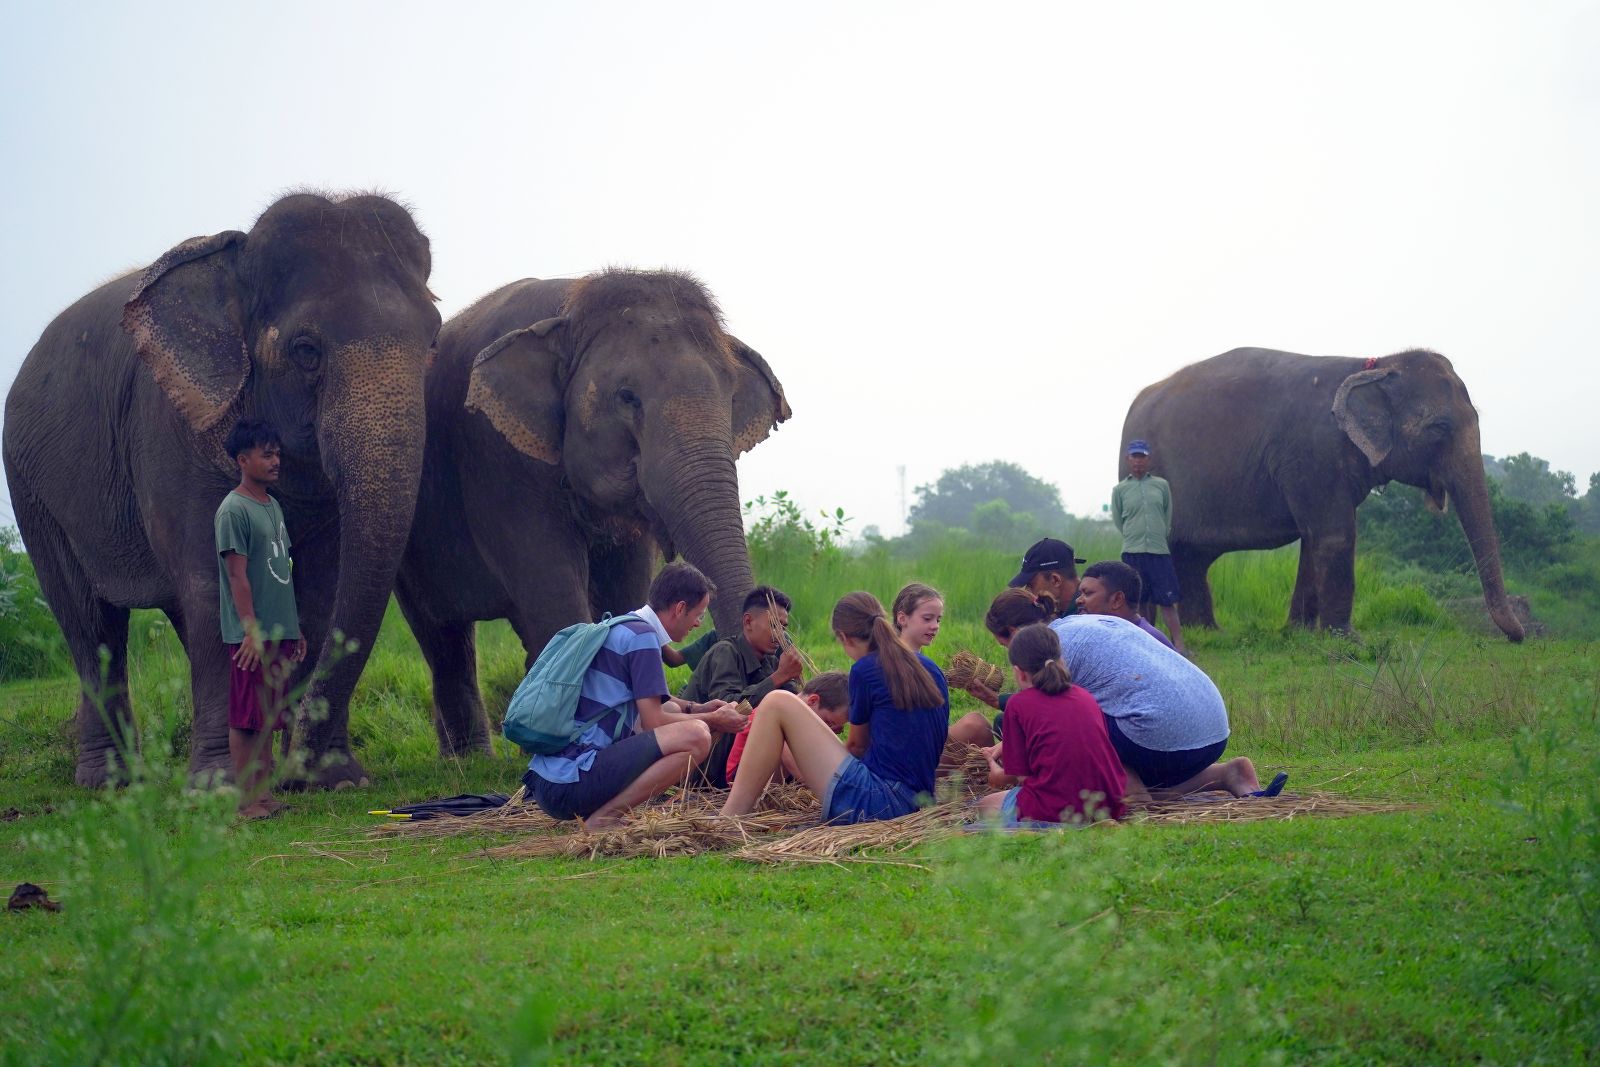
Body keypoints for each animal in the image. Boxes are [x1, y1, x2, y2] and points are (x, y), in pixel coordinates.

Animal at [3, 192, 442, 788]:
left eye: (434, 341)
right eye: (306, 350)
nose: (300, 761)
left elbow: (319, 592)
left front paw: (331, 780)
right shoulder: (169, 430)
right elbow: (208, 587)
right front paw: (219, 786)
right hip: (31, 489)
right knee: (89, 622)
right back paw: (111, 782)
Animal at [394, 269, 790, 755]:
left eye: (732, 400)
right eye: (627, 397)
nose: (770, 655)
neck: (571, 303)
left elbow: (628, 582)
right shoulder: (494, 453)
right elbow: (551, 581)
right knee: (441, 634)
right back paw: (470, 760)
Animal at [1119, 347, 1524, 641]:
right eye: (1439, 428)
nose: (1517, 637)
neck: (1372, 366)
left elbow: (1314, 539)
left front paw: (1298, 634)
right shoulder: (1314, 452)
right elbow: (1334, 534)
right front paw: (1345, 640)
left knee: (1192, 557)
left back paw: (1208, 633)